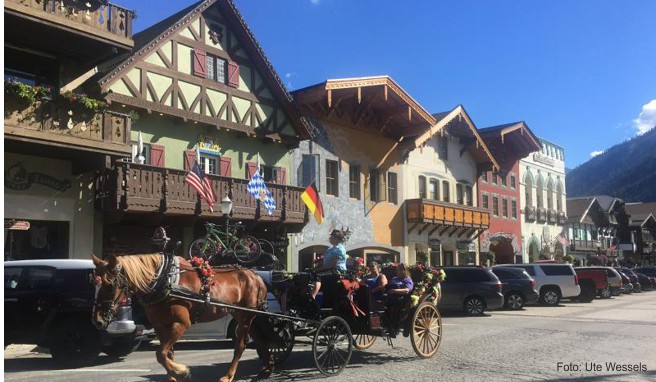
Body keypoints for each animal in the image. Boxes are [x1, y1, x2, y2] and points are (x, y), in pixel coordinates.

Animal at [91, 252, 270, 380]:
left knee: (240, 346)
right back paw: (267, 368)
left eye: (110, 284)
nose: (97, 320)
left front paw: (181, 371)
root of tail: (256, 276)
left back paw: (228, 376)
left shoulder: (181, 324)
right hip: (243, 315)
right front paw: (173, 375)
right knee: (260, 340)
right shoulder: (160, 326)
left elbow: (160, 354)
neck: (165, 282)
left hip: (245, 316)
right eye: (94, 283)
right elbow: (167, 353)